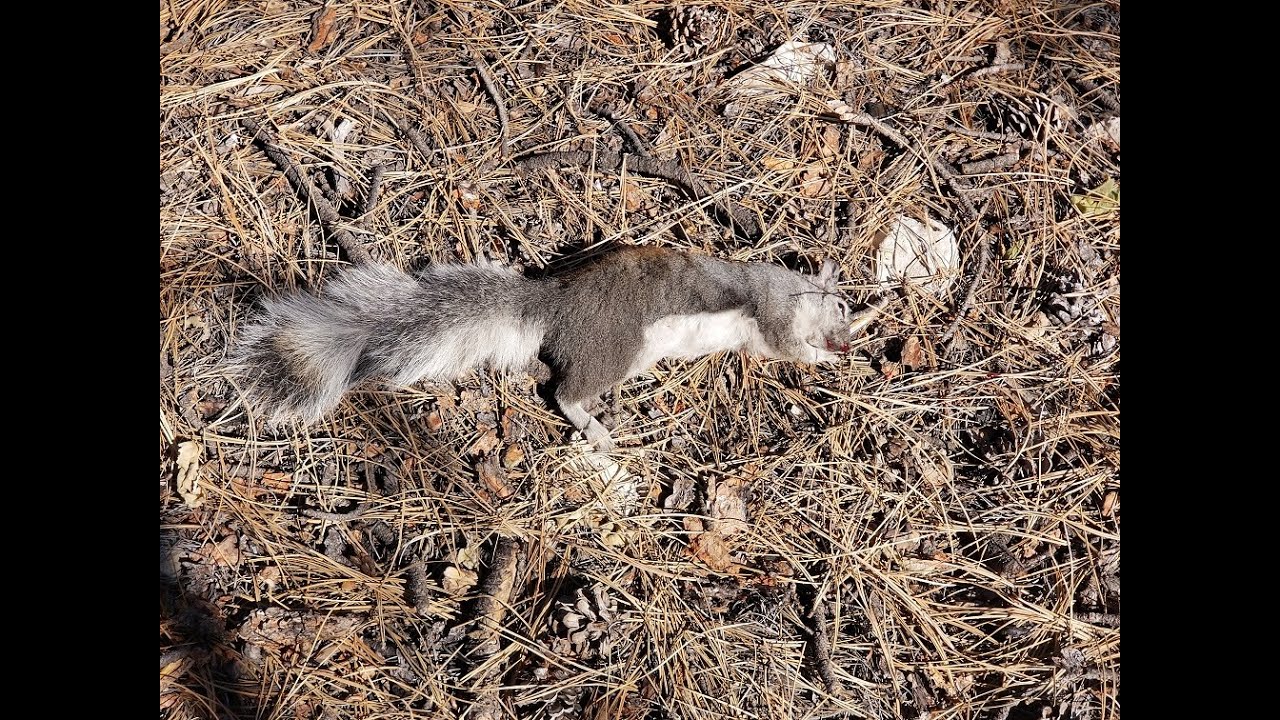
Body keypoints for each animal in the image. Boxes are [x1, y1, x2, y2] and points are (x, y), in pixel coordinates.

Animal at [227, 246, 886, 450]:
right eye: (840, 307)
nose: (848, 337)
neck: (787, 287)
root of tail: (554, 309)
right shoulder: (771, 314)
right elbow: (787, 346)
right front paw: (842, 343)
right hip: (616, 349)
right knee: (563, 390)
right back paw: (594, 428)